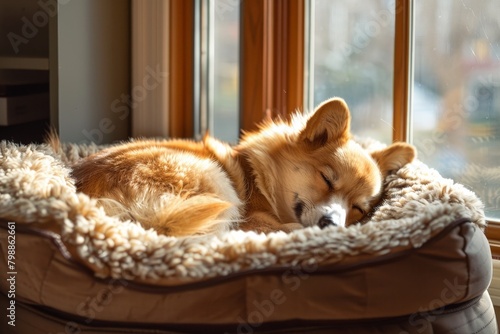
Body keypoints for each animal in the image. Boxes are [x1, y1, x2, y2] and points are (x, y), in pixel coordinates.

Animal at [69, 98, 414, 236]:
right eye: (327, 180)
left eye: (358, 208)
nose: (331, 223)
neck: (257, 179)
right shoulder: (254, 216)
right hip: (215, 179)